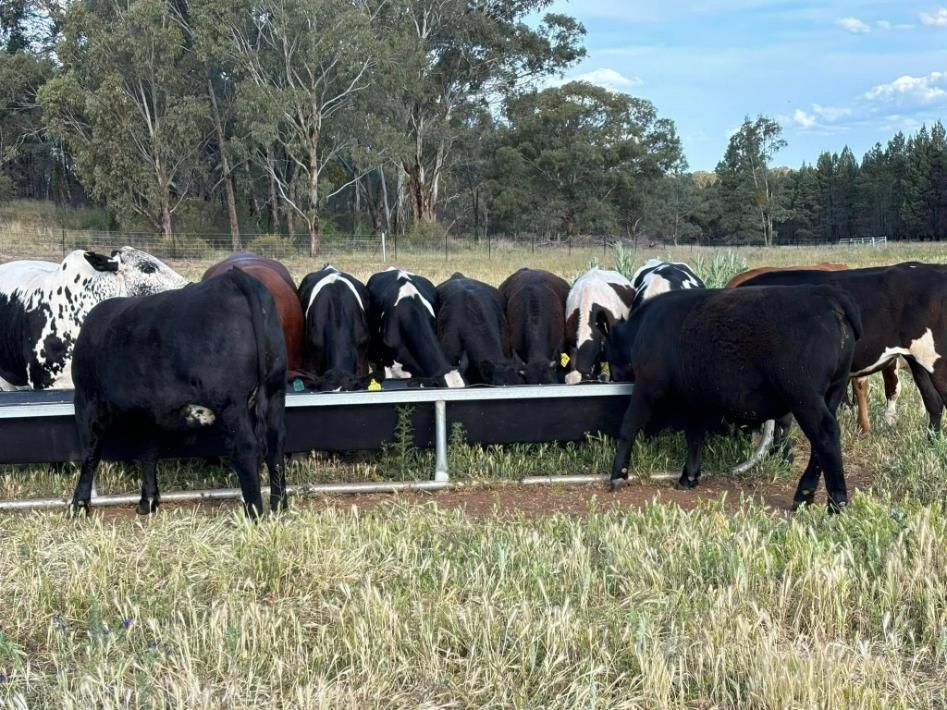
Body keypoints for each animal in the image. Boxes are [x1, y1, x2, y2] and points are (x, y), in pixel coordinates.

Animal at [69, 269, 287, 519]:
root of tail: (234, 278)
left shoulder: (86, 397)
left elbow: (90, 453)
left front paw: (79, 505)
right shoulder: (150, 411)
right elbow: (148, 452)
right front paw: (148, 501)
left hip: (231, 402)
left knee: (246, 448)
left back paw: (254, 513)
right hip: (275, 391)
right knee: (276, 443)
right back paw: (279, 507)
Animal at [606, 285, 862, 512]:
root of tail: (826, 295)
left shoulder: (647, 388)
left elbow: (628, 426)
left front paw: (618, 475)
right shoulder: (695, 399)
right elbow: (695, 436)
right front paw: (689, 476)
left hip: (804, 397)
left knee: (826, 434)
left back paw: (836, 502)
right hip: (833, 392)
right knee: (821, 442)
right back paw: (804, 494)